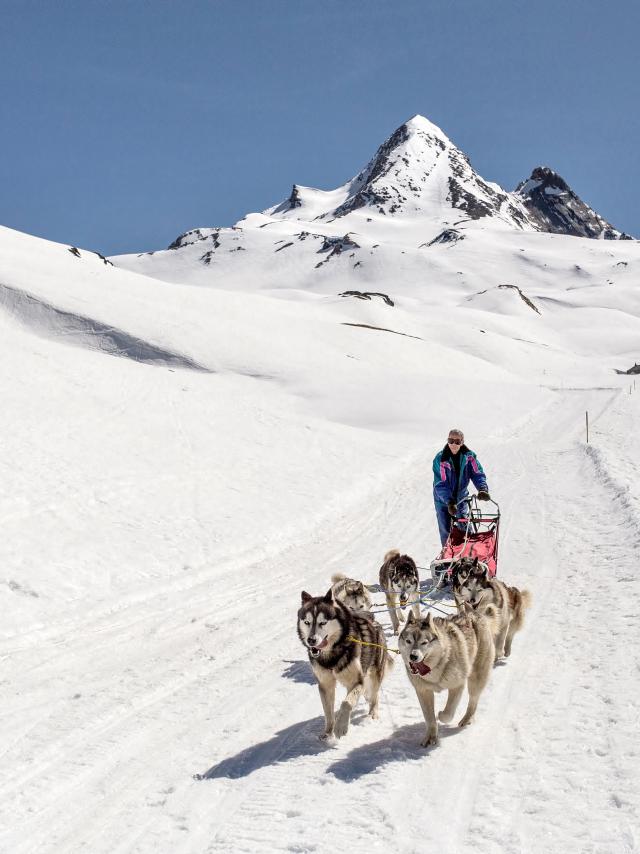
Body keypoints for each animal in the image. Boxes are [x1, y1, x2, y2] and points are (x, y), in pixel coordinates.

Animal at [298, 588, 392, 744]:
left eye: (323, 622)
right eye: (307, 622)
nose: (311, 640)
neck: (332, 656)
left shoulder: (357, 681)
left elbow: (346, 703)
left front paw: (340, 727)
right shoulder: (325, 685)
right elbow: (328, 712)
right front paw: (328, 733)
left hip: (374, 674)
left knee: (374, 695)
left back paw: (372, 714)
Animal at [400, 608, 496, 748]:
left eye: (424, 642)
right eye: (408, 641)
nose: (413, 656)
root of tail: (473, 612)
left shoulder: (457, 685)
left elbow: (448, 713)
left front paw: (440, 715)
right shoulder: (423, 691)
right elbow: (429, 718)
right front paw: (431, 737)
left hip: (476, 680)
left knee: (473, 700)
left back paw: (467, 718)